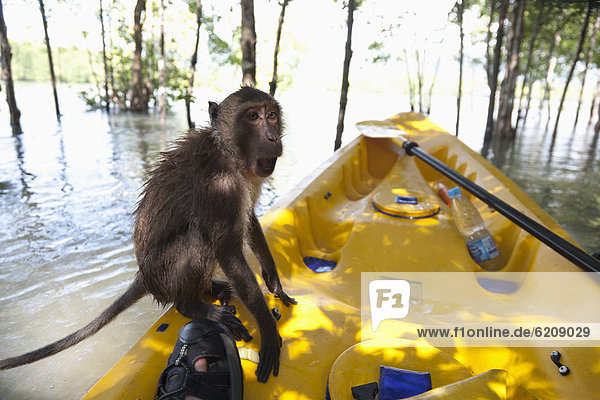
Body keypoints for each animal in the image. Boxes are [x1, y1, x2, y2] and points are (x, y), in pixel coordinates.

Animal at [0, 86, 296, 382]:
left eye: (271, 115)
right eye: (253, 117)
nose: (272, 137)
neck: (229, 152)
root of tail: (145, 276)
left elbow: (249, 221)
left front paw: (273, 281)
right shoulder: (221, 186)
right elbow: (228, 251)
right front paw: (269, 332)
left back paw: (210, 287)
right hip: (164, 273)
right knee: (196, 238)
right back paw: (192, 305)